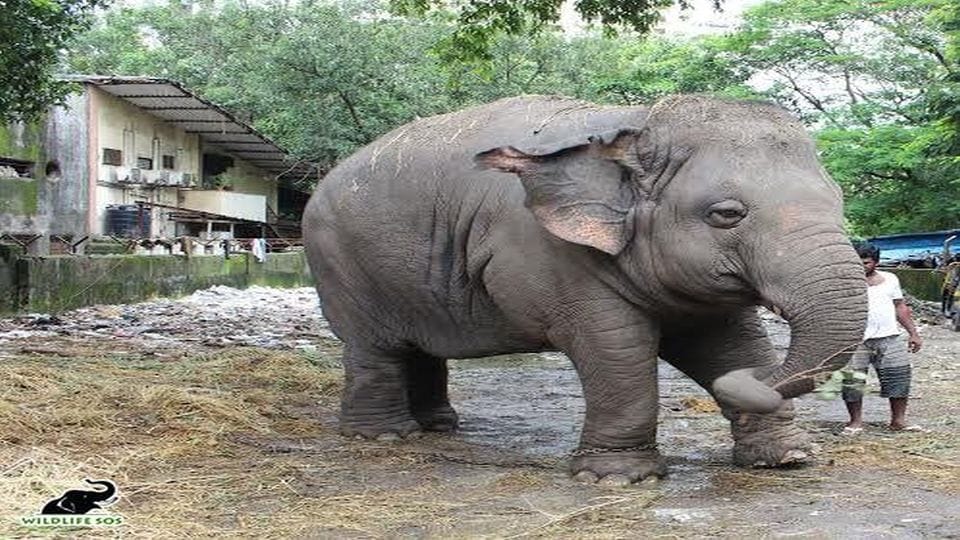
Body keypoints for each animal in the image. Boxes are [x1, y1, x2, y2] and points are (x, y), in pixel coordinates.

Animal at [303, 95, 868, 484]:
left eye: (839, 202)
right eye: (726, 214)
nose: (740, 385)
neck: (636, 124)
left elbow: (733, 344)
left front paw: (787, 458)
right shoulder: (547, 252)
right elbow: (614, 347)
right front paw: (617, 478)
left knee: (419, 347)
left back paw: (439, 426)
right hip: (340, 262)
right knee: (376, 348)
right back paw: (384, 434)